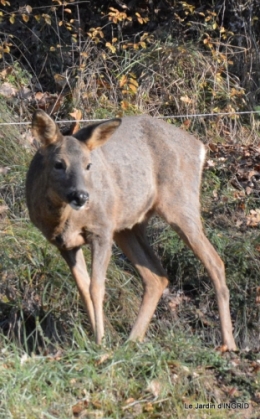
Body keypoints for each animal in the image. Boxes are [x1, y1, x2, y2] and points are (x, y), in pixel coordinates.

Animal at [25, 110, 237, 350]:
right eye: (59, 164)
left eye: (89, 165)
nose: (80, 196)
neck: (63, 220)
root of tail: (200, 147)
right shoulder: (64, 244)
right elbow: (83, 288)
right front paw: (97, 340)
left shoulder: (102, 229)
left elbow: (96, 288)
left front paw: (100, 343)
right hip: (129, 227)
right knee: (156, 277)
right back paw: (132, 340)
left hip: (181, 204)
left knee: (215, 263)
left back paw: (228, 344)